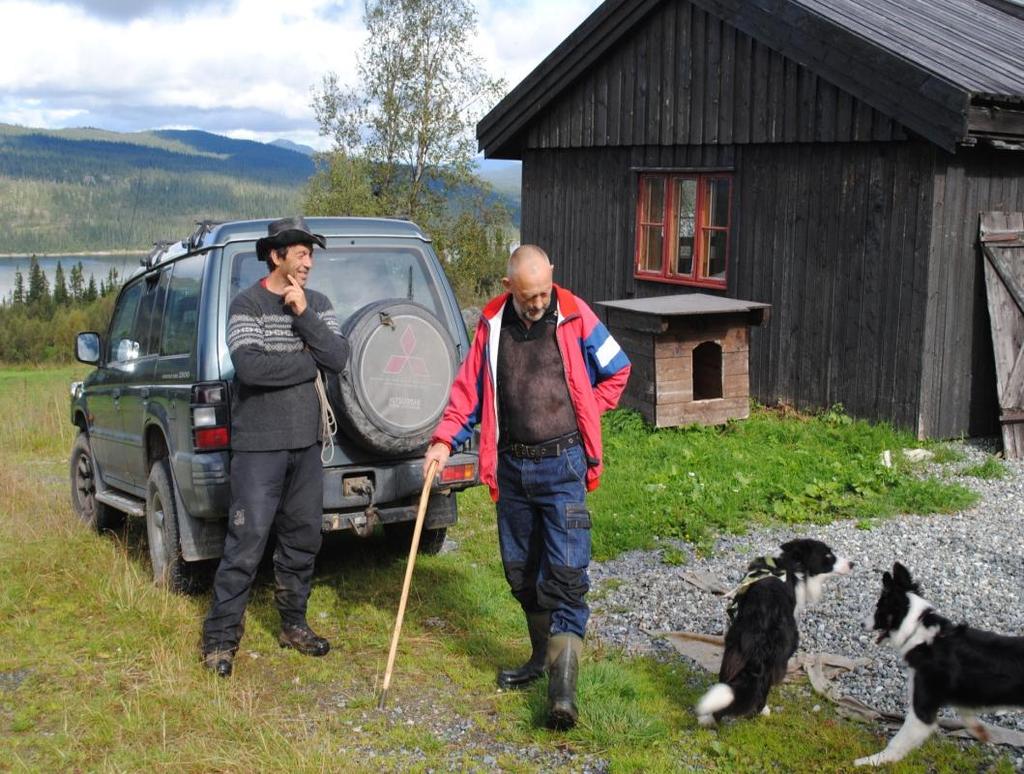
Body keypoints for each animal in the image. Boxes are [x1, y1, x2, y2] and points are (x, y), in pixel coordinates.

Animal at [692, 536, 851, 724]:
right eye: (828, 556)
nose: (852, 564)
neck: (788, 564)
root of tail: (763, 625)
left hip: (734, 648)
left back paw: (709, 717)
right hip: (781, 651)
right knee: (763, 687)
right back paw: (762, 710)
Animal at [856, 561, 1024, 769]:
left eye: (879, 607)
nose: (862, 624)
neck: (917, 630)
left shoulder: (922, 709)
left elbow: (897, 742)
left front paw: (872, 760)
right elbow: (965, 711)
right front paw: (979, 730)